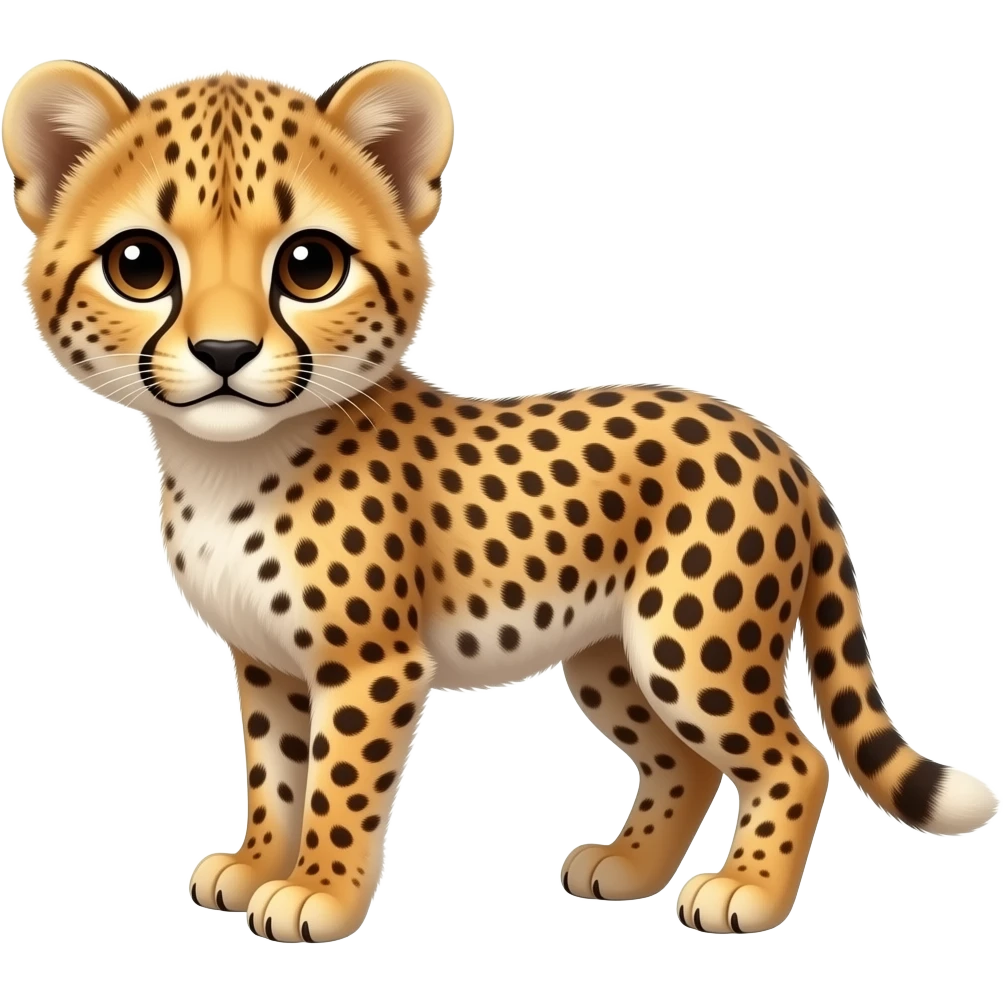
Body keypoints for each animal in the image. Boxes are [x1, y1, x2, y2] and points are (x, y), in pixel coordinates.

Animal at [5, 58, 999, 943]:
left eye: (309, 265)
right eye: (139, 263)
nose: (222, 353)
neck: (226, 461)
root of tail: (767, 435)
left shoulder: (370, 666)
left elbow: (335, 785)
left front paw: (317, 892)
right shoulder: (267, 662)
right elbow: (273, 776)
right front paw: (256, 864)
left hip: (689, 641)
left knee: (794, 759)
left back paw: (745, 890)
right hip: (609, 655)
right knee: (682, 760)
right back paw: (628, 866)